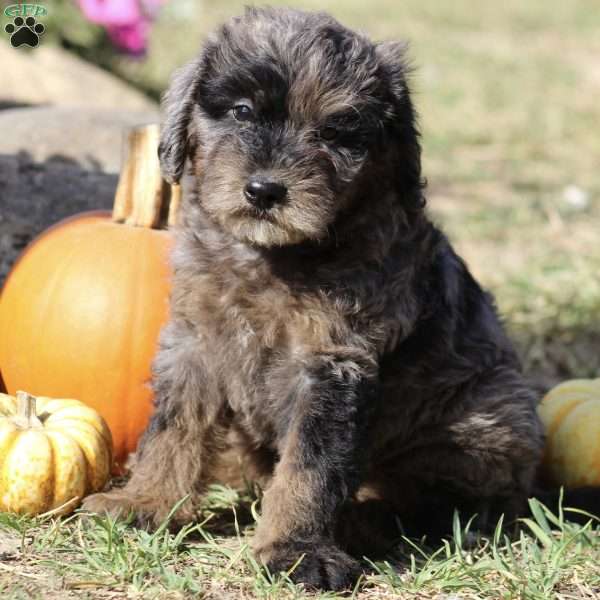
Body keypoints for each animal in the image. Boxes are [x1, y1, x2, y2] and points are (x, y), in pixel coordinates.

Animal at [85, 8, 548, 592]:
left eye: (333, 131)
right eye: (242, 111)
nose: (265, 191)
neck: (272, 258)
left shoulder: (331, 366)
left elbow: (310, 468)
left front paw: (294, 549)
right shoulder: (194, 343)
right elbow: (173, 430)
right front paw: (146, 501)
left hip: (490, 417)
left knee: (444, 503)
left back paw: (359, 521)